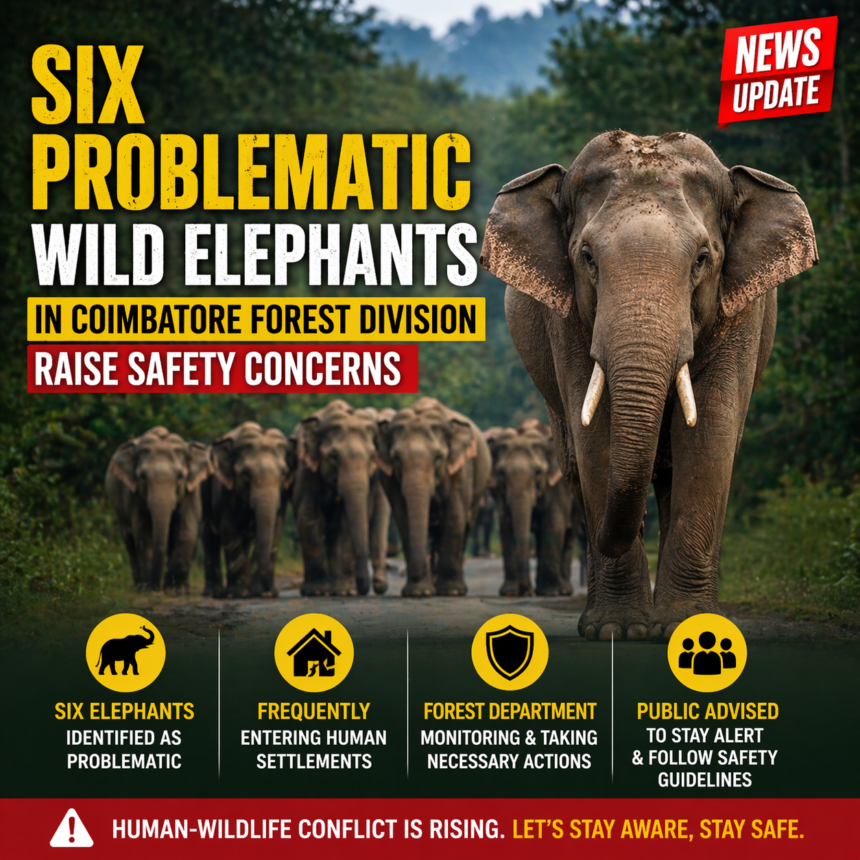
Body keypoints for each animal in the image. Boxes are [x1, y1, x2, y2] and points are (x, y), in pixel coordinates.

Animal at [105, 426, 210, 592]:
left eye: (180, 476)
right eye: (142, 476)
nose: (157, 586)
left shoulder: (192, 490)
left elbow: (187, 530)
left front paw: (178, 590)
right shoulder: (133, 494)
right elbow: (143, 534)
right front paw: (148, 588)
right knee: (129, 541)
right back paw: (139, 586)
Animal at [202, 422, 296, 598]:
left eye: (284, 473)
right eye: (246, 474)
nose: (269, 590)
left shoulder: (283, 493)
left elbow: (275, 527)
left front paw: (260, 592)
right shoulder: (226, 491)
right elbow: (229, 528)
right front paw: (241, 594)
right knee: (209, 536)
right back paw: (215, 593)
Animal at [292, 400, 386, 597]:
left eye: (372, 457)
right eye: (333, 457)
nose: (363, 590)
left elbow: (345, 526)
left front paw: (345, 592)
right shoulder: (306, 470)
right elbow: (308, 518)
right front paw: (315, 592)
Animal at [377, 397, 491, 596]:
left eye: (438, 457)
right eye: (396, 458)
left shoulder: (460, 467)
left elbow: (454, 514)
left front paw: (451, 592)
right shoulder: (389, 476)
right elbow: (403, 516)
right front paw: (418, 592)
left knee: (466, 524)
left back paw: (452, 587)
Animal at [487, 420, 575, 597]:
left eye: (538, 472)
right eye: (502, 472)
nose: (527, 590)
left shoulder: (558, 485)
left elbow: (553, 523)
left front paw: (552, 593)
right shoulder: (500, 492)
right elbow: (506, 525)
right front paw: (510, 593)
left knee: (569, 535)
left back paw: (563, 590)